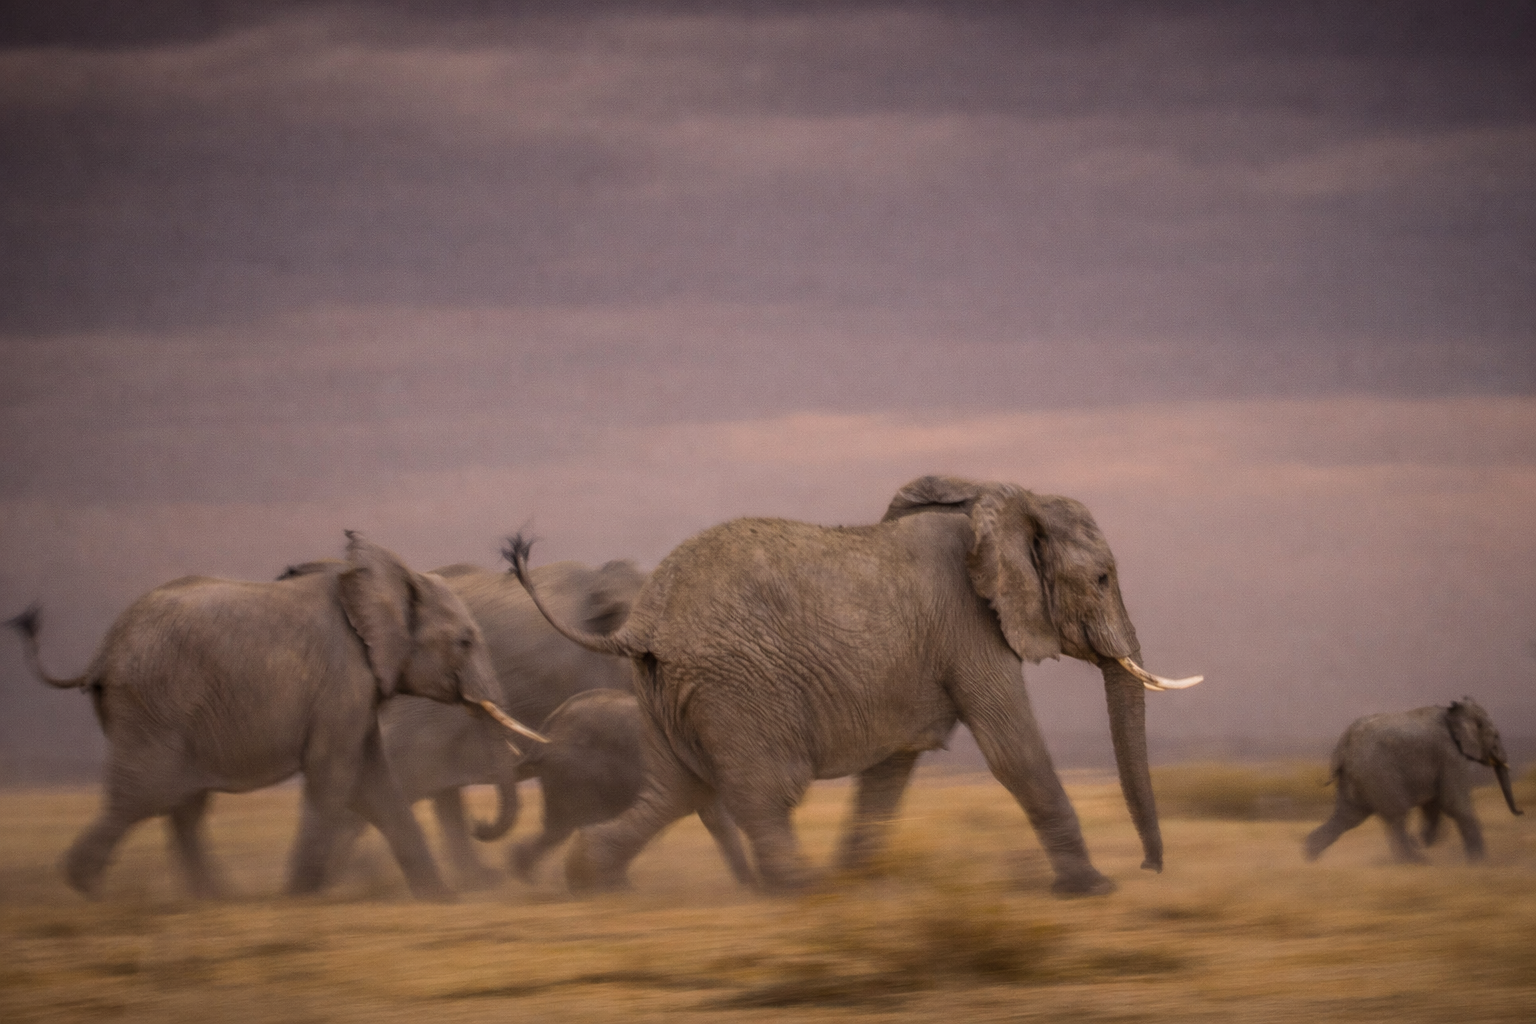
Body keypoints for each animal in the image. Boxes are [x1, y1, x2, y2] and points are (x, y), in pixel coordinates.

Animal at [6, 532, 543, 901]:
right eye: (466, 641)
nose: (480, 822)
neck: (385, 578)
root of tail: (104, 651)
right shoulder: (342, 680)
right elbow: (335, 779)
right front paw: (300, 896)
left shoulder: (356, 694)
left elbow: (376, 785)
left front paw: (439, 899)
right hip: (154, 705)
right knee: (145, 794)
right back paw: (87, 887)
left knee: (182, 803)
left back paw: (212, 899)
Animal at [506, 689, 754, 885]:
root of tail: (546, 733)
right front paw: (751, 885)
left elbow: (717, 817)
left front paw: (748, 884)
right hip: (575, 772)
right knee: (571, 824)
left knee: (561, 827)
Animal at [1304, 697, 1523, 863]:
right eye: (1496, 736)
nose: (1521, 812)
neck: (1453, 714)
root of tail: (1344, 743)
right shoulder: (1450, 756)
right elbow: (1455, 804)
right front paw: (1480, 863)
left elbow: (1434, 804)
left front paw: (1427, 840)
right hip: (1378, 772)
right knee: (1396, 814)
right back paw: (1416, 861)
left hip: (1357, 775)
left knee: (1348, 816)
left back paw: (1310, 857)